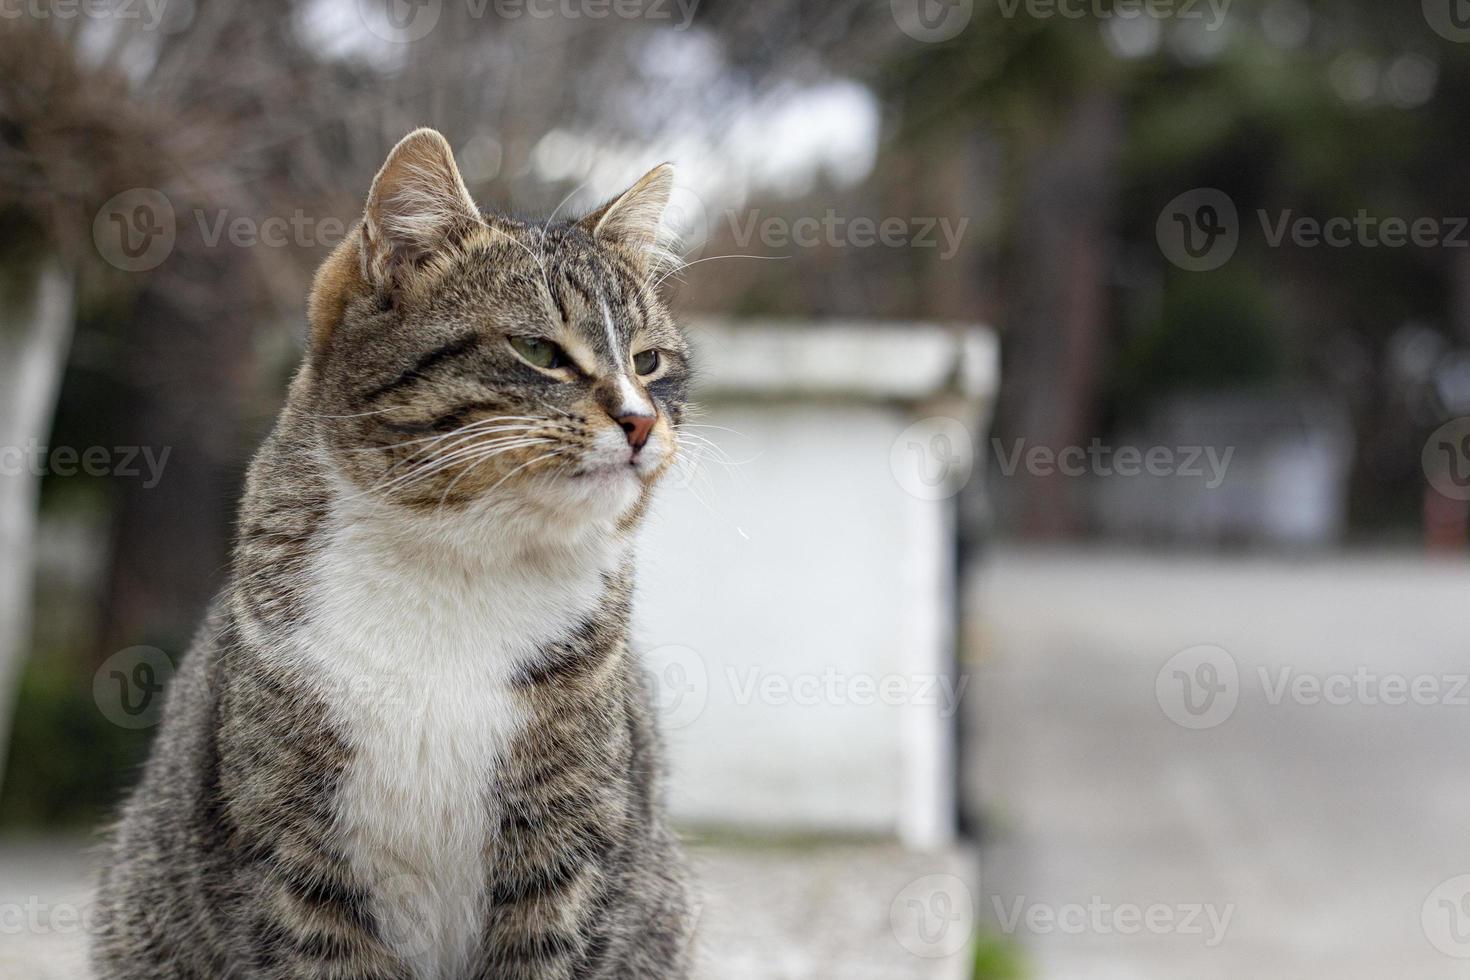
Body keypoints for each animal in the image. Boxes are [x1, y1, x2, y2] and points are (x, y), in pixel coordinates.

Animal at [93, 130, 699, 980]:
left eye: (649, 363)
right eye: (539, 350)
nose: (643, 421)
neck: (462, 570)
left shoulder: (570, 856)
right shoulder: (295, 865)